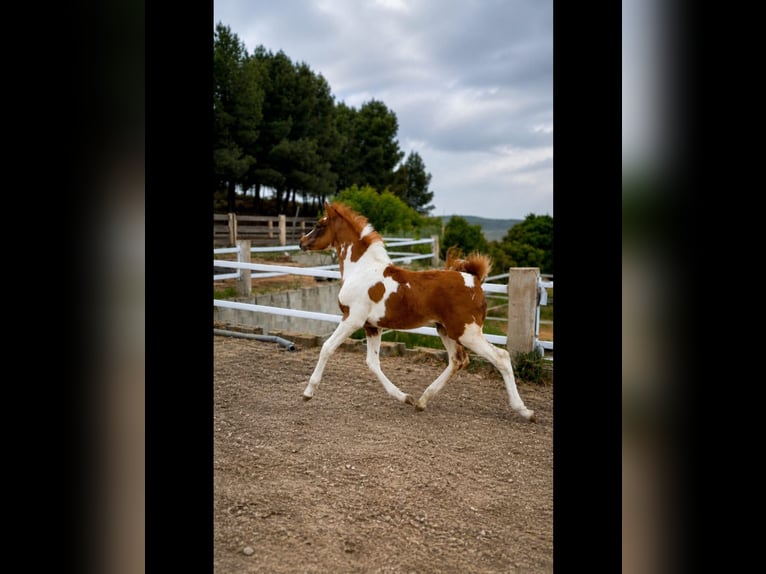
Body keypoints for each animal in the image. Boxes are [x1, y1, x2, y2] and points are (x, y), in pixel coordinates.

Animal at [298, 201, 535, 422]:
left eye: (319, 225)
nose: (301, 243)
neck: (362, 270)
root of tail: (474, 280)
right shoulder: (372, 326)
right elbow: (372, 363)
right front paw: (406, 397)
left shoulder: (352, 319)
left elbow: (327, 348)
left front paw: (308, 392)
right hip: (445, 330)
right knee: (458, 360)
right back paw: (421, 401)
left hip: (466, 332)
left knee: (501, 357)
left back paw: (525, 411)